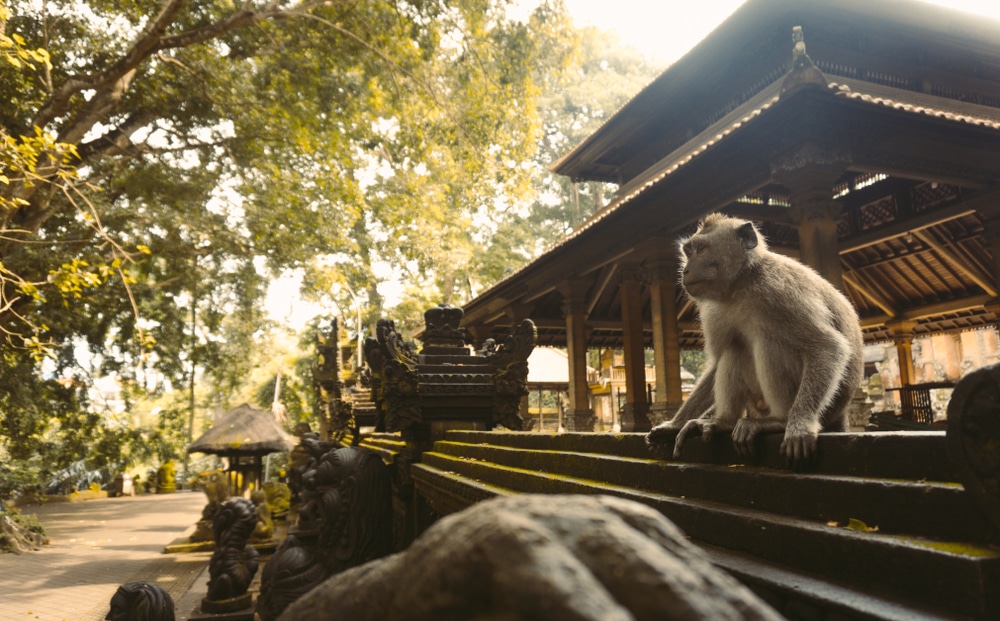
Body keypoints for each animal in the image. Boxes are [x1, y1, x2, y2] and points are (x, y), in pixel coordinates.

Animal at [644, 213, 864, 464]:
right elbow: (717, 362)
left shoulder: (779, 291)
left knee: (770, 341)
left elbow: (827, 346)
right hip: (756, 403)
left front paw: (800, 425)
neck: (740, 284)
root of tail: (841, 412)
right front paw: (674, 424)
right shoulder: (713, 310)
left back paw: (779, 421)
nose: (686, 271)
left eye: (700, 249)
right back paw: (723, 422)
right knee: (735, 348)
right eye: (688, 252)